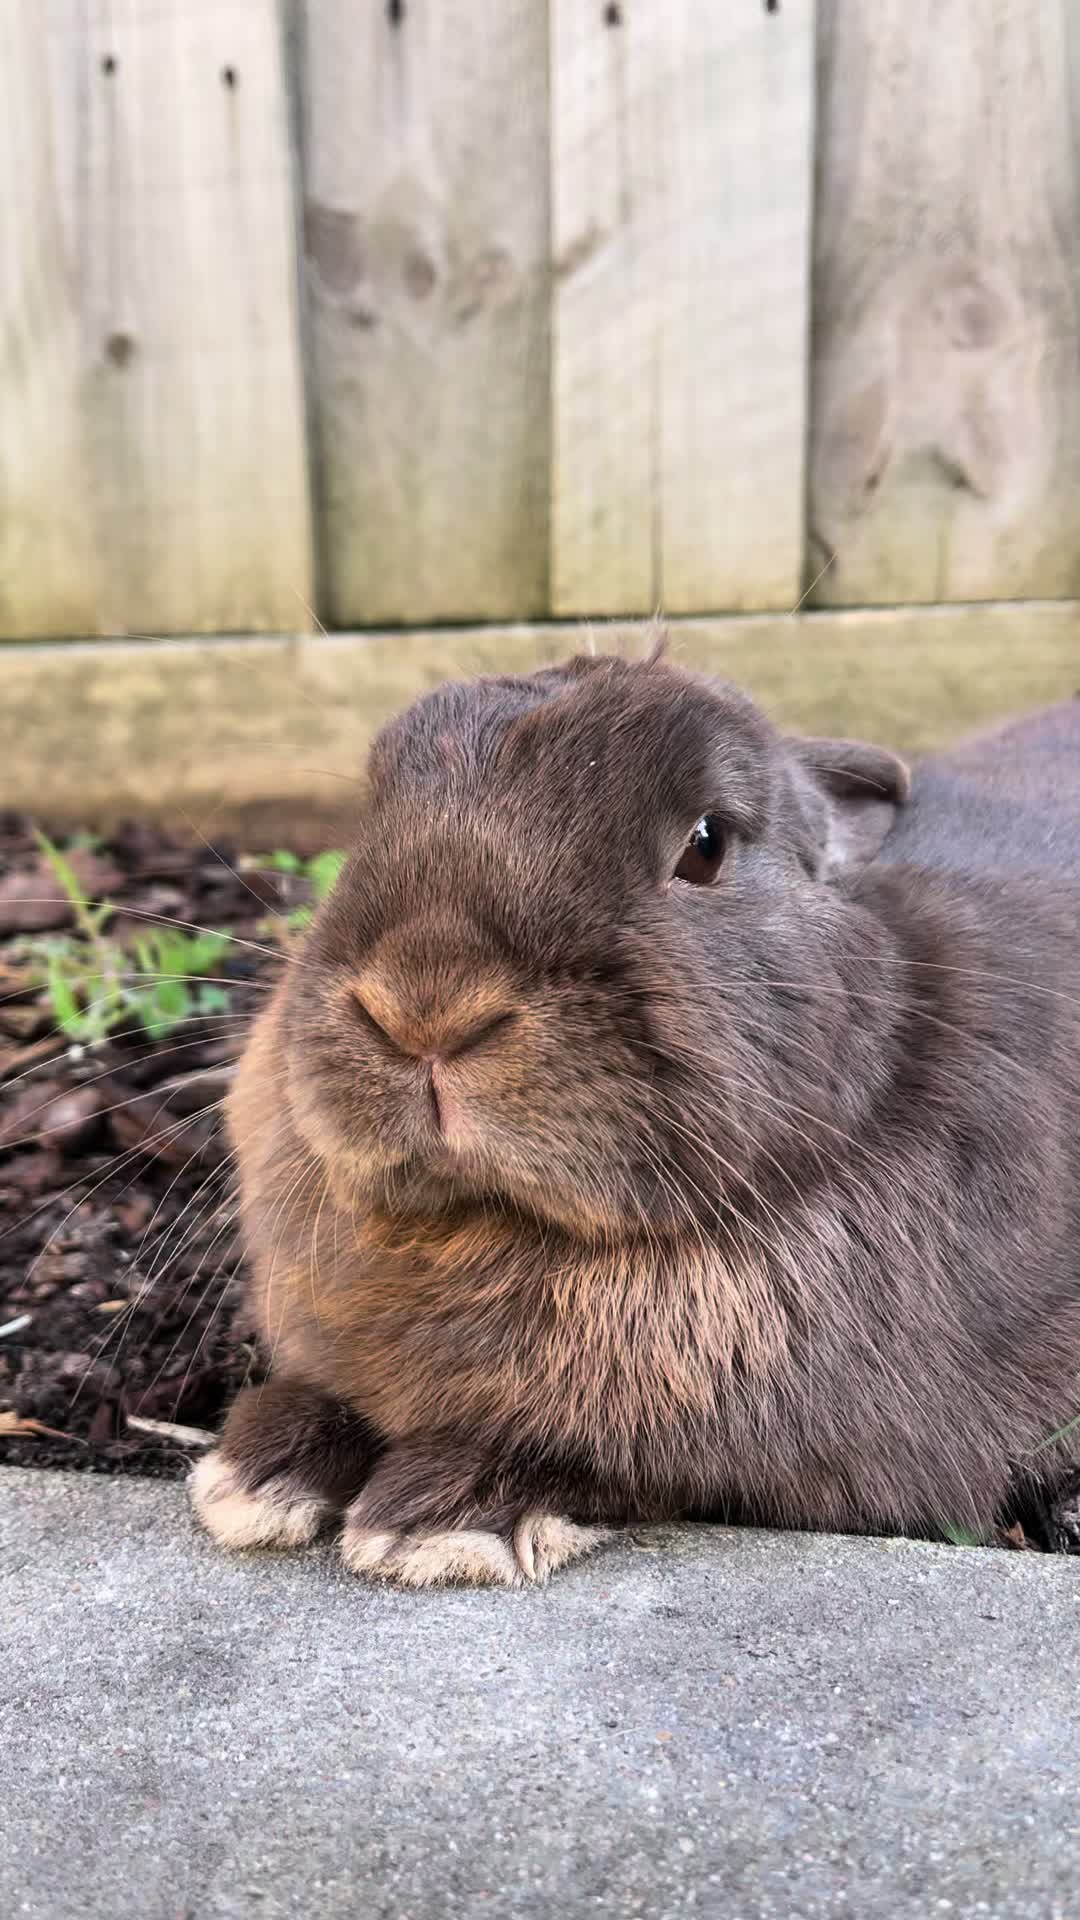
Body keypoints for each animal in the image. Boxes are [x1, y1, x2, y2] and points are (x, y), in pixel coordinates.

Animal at [191, 648, 1080, 1585]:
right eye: (372, 816)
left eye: (708, 844)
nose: (423, 1005)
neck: (487, 1226)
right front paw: (261, 1469)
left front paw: (441, 1515)